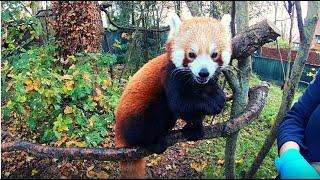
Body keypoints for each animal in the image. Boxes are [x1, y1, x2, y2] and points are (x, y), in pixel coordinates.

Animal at [115, 13, 232, 179]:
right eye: (191, 55)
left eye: (214, 55)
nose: (203, 72)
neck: (195, 82)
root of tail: (119, 133)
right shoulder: (170, 75)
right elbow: (180, 104)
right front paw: (212, 104)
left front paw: (196, 126)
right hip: (136, 114)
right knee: (146, 120)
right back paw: (152, 142)